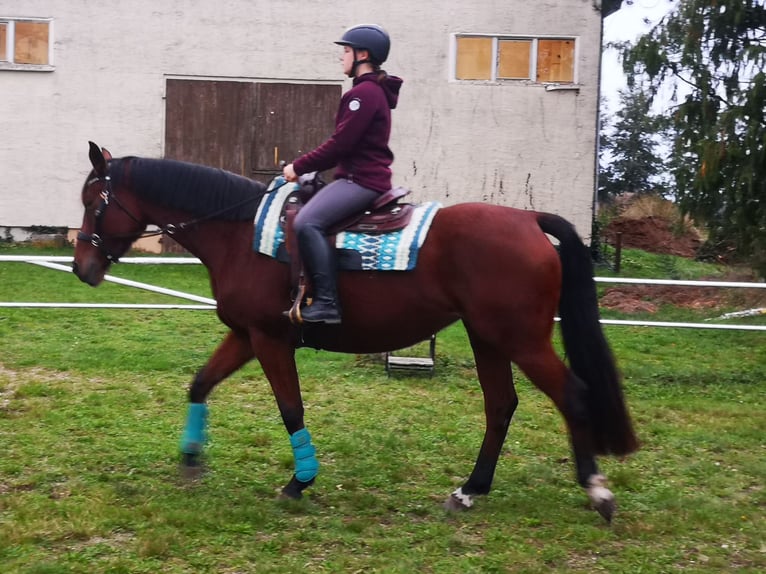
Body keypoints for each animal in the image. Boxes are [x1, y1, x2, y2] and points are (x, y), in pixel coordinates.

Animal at [72, 143, 640, 520]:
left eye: (93, 201)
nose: (82, 268)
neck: (239, 233)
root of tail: (528, 220)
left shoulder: (270, 340)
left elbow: (291, 408)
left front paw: (299, 481)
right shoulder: (246, 335)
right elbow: (200, 383)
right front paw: (191, 457)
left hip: (523, 341)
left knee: (573, 395)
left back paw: (597, 491)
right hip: (489, 339)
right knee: (500, 406)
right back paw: (470, 490)